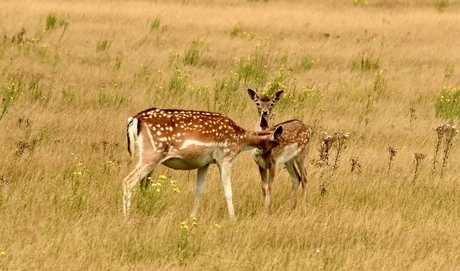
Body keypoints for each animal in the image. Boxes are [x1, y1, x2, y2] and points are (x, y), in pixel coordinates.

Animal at [122, 108, 282, 221]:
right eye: (277, 142)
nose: (270, 162)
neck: (241, 139)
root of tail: (135, 119)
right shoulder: (225, 157)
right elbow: (228, 192)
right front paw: (233, 219)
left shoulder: (204, 163)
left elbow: (199, 190)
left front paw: (192, 217)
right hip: (152, 154)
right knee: (128, 181)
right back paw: (126, 217)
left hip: (147, 156)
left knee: (143, 185)